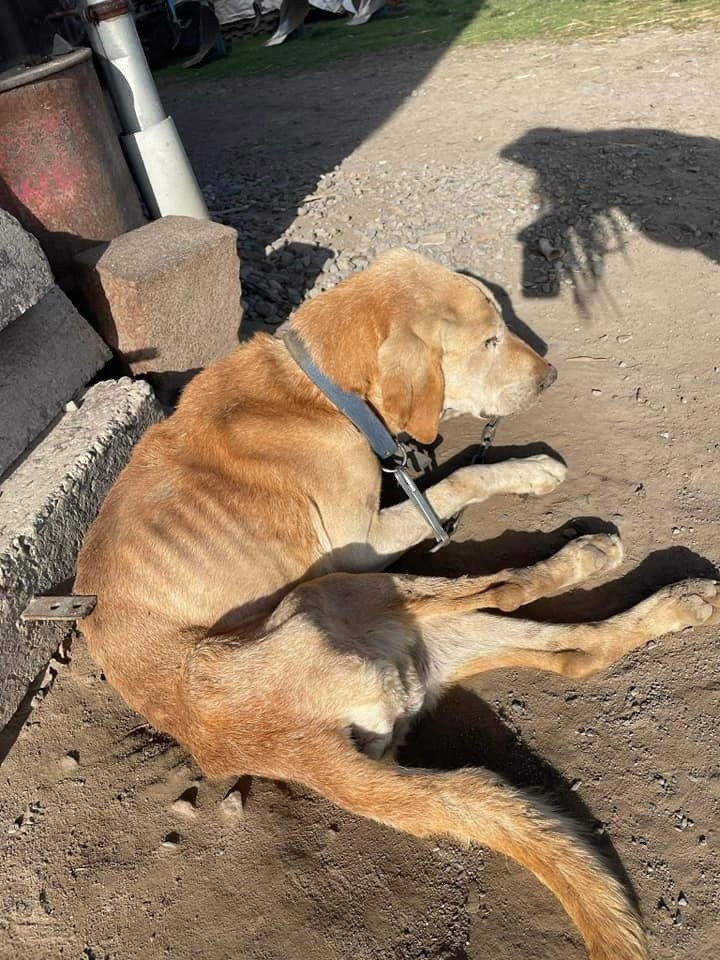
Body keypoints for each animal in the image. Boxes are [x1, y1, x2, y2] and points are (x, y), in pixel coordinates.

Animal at [76, 249, 716, 960]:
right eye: (489, 341)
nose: (550, 375)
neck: (319, 387)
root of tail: (288, 746)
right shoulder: (362, 546)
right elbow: (459, 477)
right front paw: (524, 469)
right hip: (344, 590)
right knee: (504, 587)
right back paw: (591, 555)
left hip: (424, 639)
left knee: (571, 651)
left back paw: (682, 601)